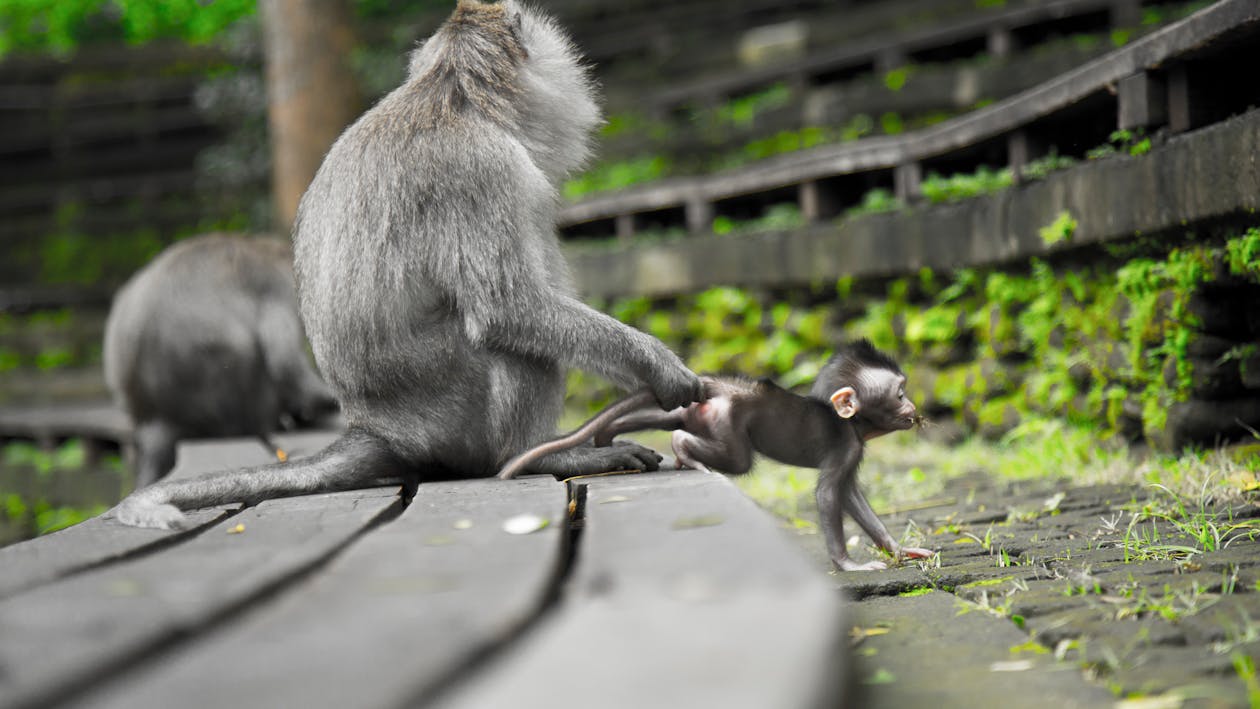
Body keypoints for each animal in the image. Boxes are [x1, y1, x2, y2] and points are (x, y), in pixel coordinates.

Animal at [501, 340, 937, 571]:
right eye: (900, 393)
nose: (915, 408)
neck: (849, 422)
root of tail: (727, 387)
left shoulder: (853, 449)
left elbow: (851, 497)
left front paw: (898, 549)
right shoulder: (845, 444)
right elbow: (830, 496)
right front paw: (848, 564)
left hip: (705, 412)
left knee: (674, 416)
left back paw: (611, 436)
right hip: (728, 423)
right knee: (728, 455)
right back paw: (683, 452)